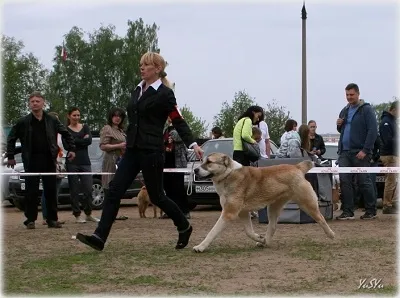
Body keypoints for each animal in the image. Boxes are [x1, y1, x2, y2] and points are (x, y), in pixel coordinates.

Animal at [192, 152, 336, 253]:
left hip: (307, 204)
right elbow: (248, 231)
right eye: (202, 161)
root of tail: (297, 167)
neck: (228, 174)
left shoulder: (229, 213)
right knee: (272, 226)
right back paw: (264, 242)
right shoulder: (243, 213)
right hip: (273, 207)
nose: (195, 170)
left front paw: (200, 247)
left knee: (321, 218)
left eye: (209, 162)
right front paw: (259, 238)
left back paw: (331, 235)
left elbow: (212, 232)